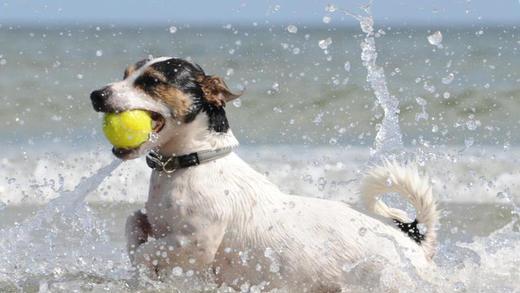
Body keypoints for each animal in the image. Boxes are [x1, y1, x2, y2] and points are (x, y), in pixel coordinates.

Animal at [90, 56, 438, 290]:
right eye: (125, 75)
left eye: (151, 82)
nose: (96, 95)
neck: (197, 162)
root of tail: (413, 236)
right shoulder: (156, 224)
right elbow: (133, 222)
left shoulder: (195, 243)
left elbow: (147, 252)